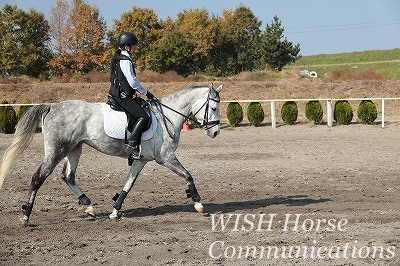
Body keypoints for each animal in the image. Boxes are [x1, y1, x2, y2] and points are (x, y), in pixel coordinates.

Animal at [0, 84, 222, 225]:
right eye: (213, 107)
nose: (215, 132)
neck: (168, 115)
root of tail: (52, 106)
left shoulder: (141, 160)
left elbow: (128, 185)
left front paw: (115, 211)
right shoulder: (166, 158)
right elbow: (188, 175)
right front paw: (199, 204)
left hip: (74, 149)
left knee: (68, 176)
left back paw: (88, 206)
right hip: (57, 150)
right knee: (38, 177)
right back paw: (25, 216)